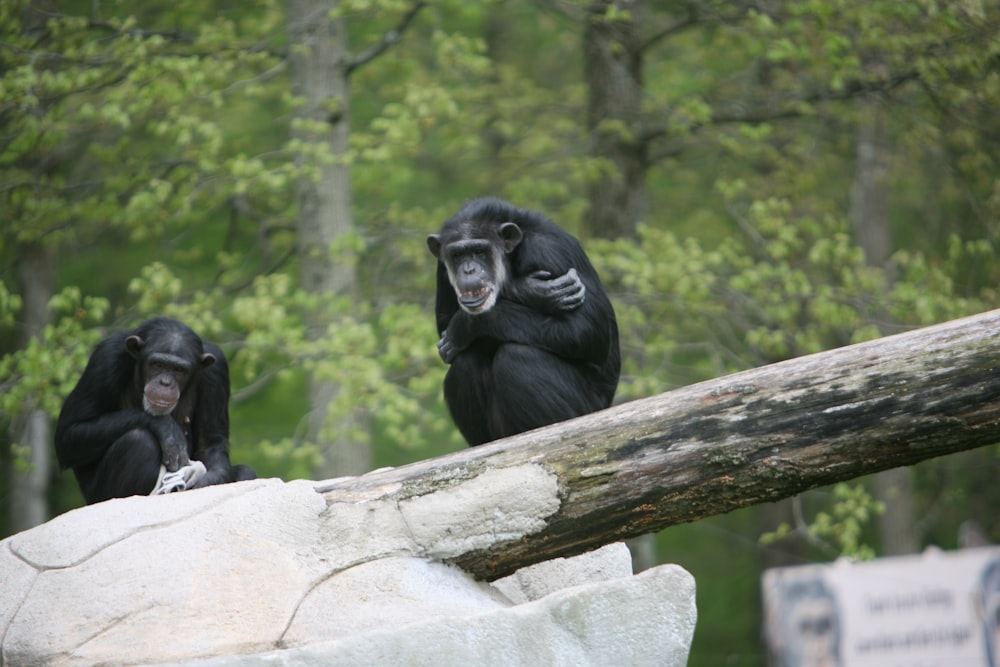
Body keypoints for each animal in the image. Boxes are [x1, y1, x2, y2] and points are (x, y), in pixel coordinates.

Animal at [53, 318, 258, 500]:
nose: (165, 383)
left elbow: (211, 442)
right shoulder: (105, 359)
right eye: (157, 364)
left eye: (179, 370)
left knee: (246, 472)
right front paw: (167, 429)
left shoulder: (217, 371)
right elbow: (70, 433)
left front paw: (206, 481)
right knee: (138, 441)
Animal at [426, 198, 620, 448]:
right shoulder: (442, 267)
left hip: (587, 410)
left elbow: (586, 329)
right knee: (465, 362)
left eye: (480, 251)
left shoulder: (549, 250)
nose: (468, 269)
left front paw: (466, 324)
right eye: (458, 255)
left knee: (518, 356)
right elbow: (445, 328)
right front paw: (531, 290)